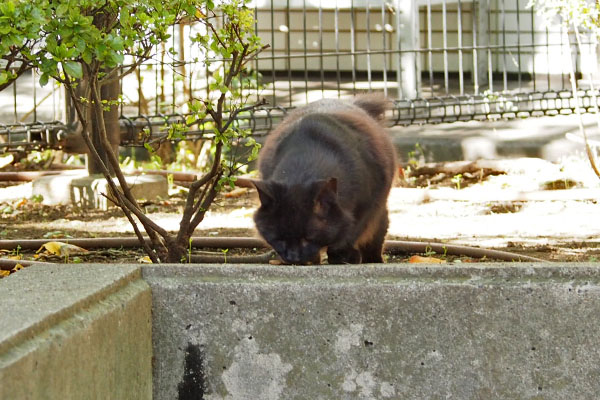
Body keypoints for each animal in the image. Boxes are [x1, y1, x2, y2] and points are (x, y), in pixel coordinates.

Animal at [252, 93, 396, 262]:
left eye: (307, 239)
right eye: (279, 239)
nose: (293, 258)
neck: (305, 164)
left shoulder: (368, 205)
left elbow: (350, 233)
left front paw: (343, 256)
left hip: (379, 214)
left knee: (375, 239)